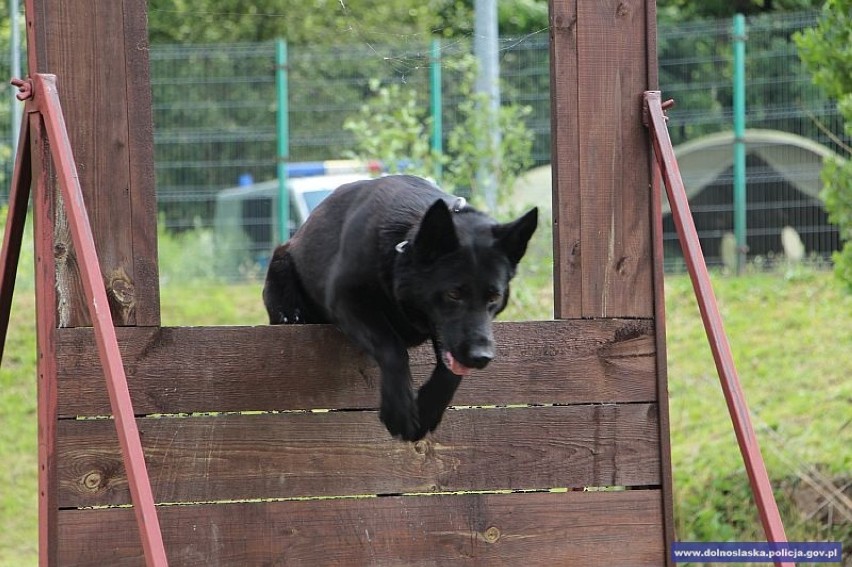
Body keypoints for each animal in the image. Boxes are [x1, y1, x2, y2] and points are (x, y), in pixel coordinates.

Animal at [262, 175, 536, 442]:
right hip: (283, 266)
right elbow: (392, 347)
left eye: (494, 297)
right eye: (454, 294)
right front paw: (400, 410)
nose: (481, 357)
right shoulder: (345, 299)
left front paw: (428, 408)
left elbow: (451, 371)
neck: (405, 240)